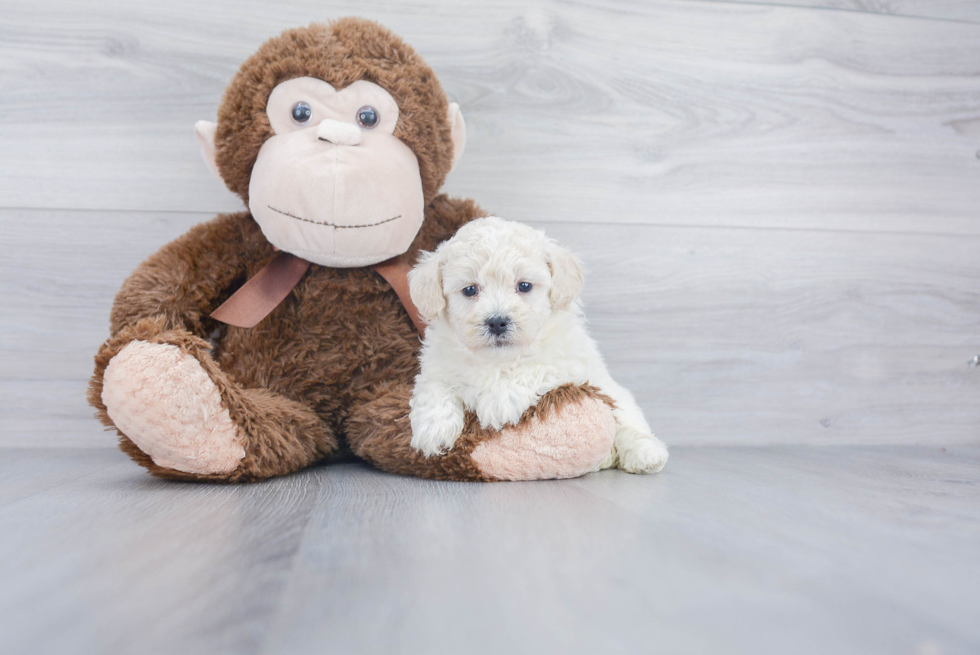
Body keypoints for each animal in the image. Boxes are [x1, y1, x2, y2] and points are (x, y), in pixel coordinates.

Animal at [404, 218, 668, 474]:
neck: (497, 360)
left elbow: (535, 368)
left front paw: (499, 401)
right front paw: (433, 429)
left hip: (618, 399)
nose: (497, 321)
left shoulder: (569, 364)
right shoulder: (437, 366)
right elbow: (435, 388)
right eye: (470, 289)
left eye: (524, 286)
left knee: (629, 427)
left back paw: (646, 455)